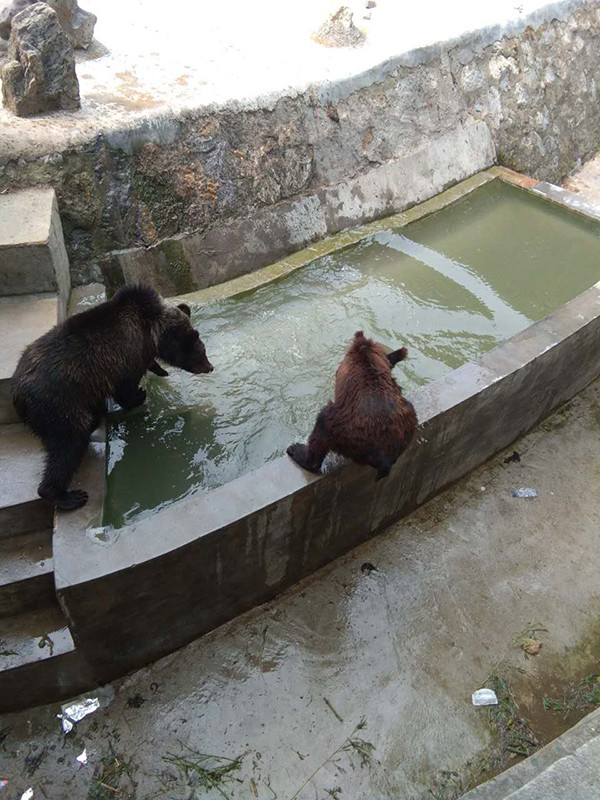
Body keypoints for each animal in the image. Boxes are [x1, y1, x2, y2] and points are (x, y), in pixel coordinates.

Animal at [11, 284, 213, 510]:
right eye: (202, 351)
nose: (210, 367)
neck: (152, 332)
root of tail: (17, 392)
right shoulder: (124, 358)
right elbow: (125, 388)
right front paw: (140, 394)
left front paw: (160, 371)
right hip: (58, 402)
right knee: (67, 444)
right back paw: (67, 495)